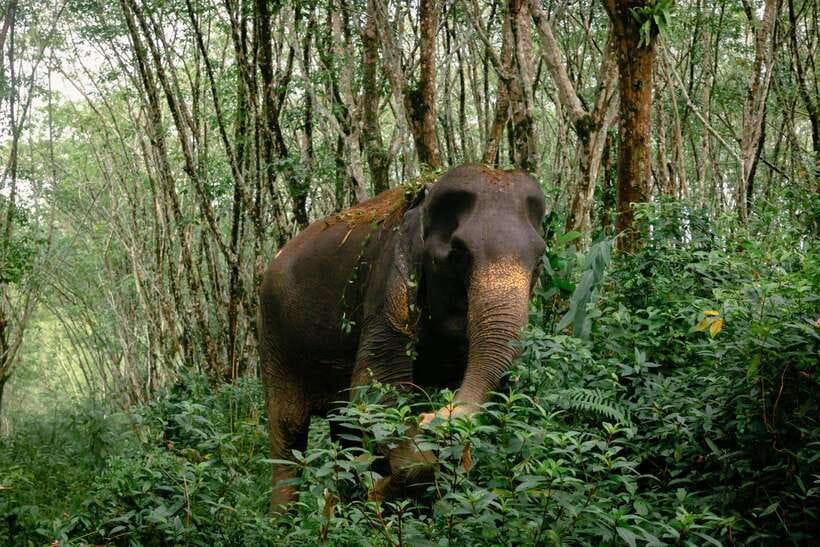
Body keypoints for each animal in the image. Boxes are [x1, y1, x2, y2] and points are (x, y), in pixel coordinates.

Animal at [258, 163, 546, 509]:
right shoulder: (388, 282)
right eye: (458, 253)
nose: (433, 415)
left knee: (344, 425)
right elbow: (373, 386)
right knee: (288, 430)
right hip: (274, 338)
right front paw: (388, 484)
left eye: (540, 259)